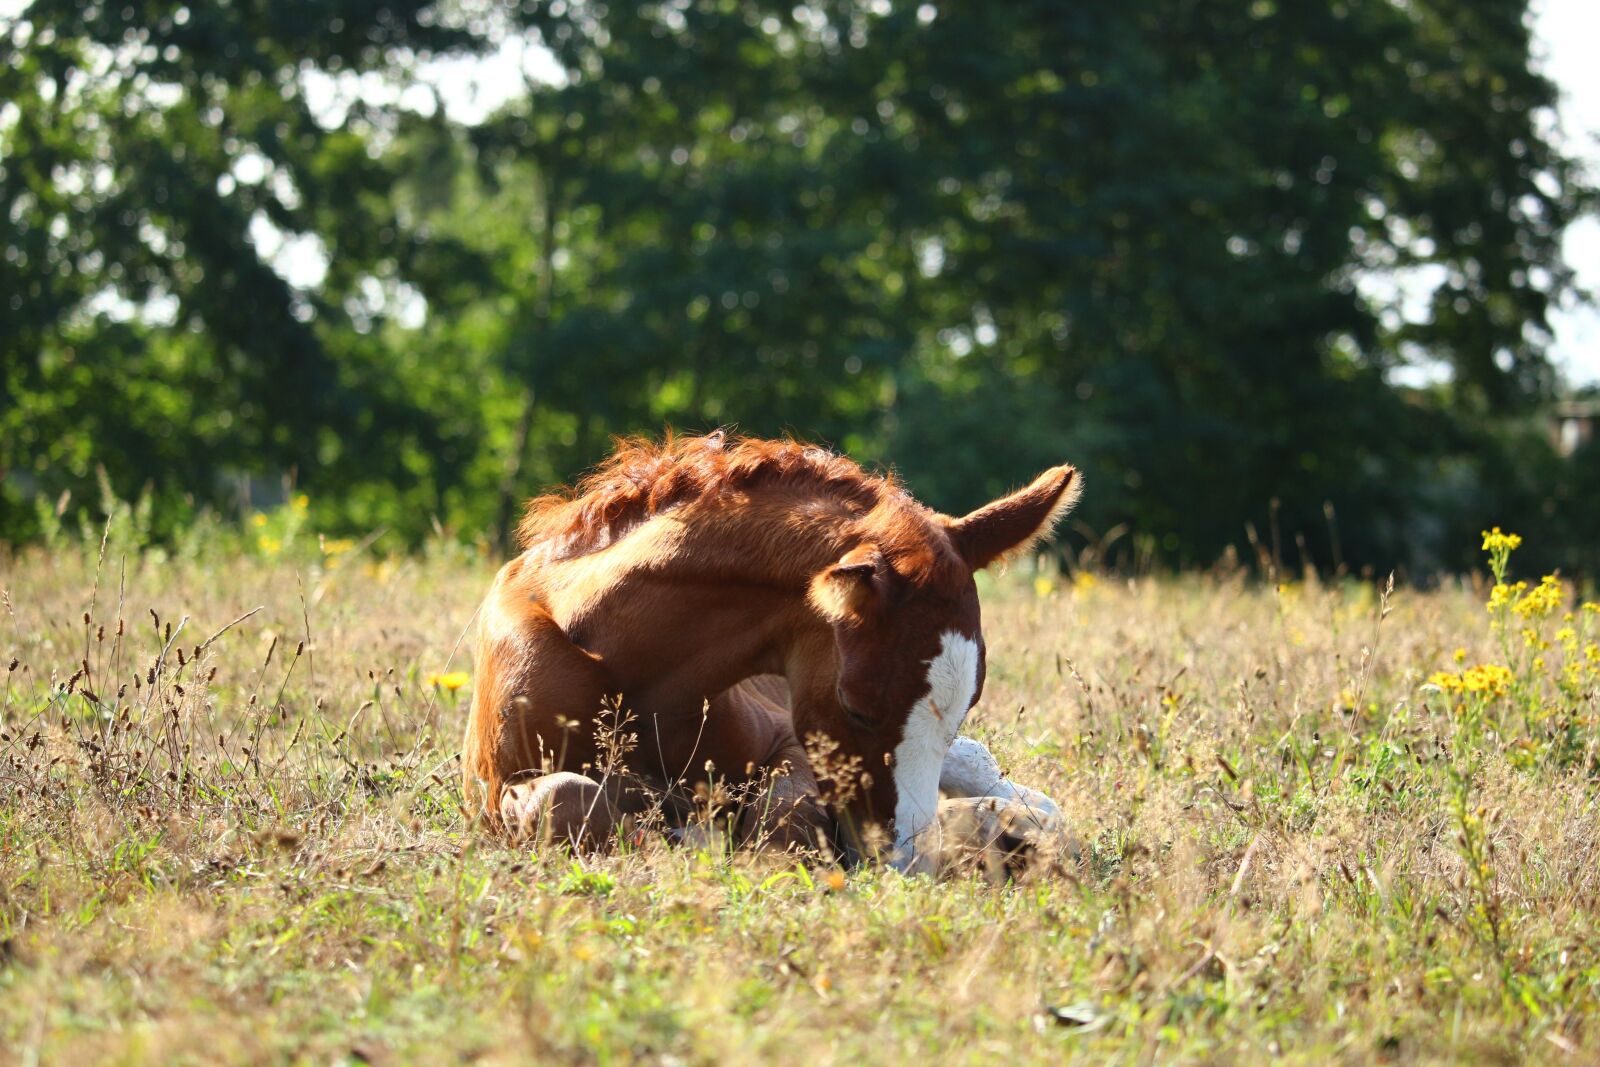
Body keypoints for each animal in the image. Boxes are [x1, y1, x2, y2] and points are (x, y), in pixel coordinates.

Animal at [461, 430, 1079, 873]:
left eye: (968, 703)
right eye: (857, 709)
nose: (904, 863)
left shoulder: (789, 742)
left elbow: (783, 817)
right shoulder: (491, 793)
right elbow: (565, 800)